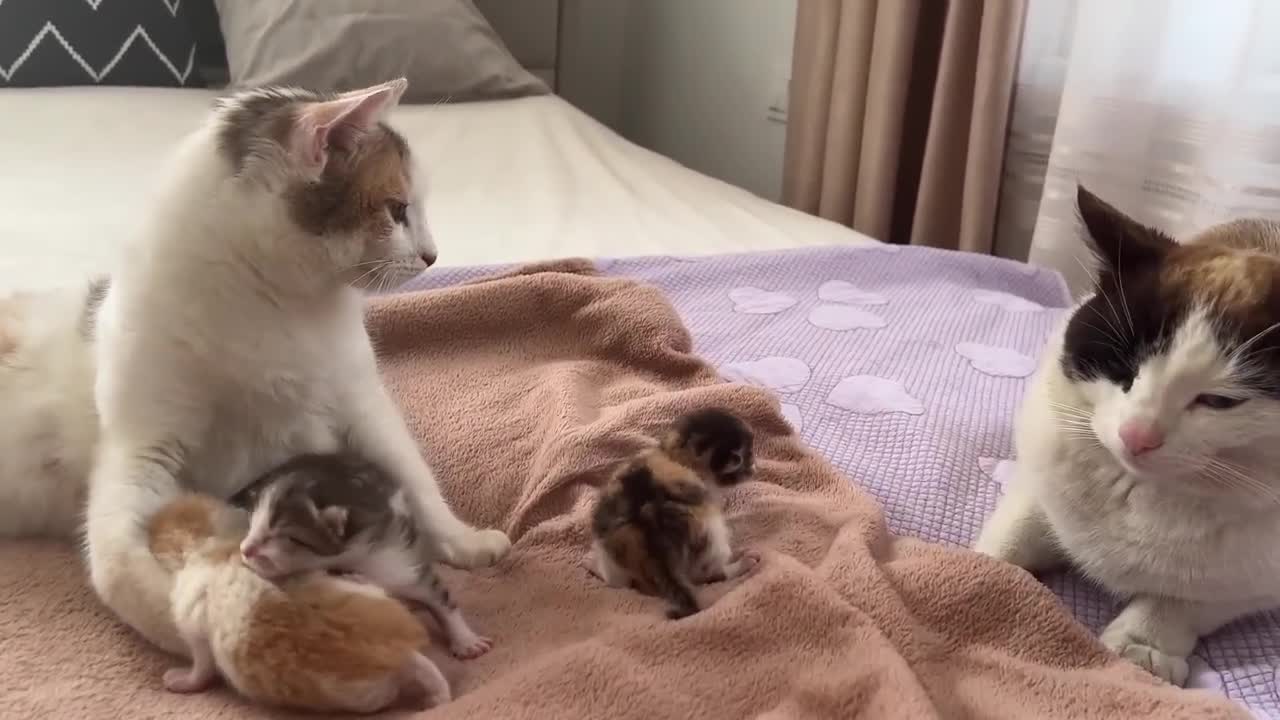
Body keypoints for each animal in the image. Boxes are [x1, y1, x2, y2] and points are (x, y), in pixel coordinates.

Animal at [146, 489, 450, 707]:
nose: (148, 523)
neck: (220, 543)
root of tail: (403, 652)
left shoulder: (193, 622)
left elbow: (202, 665)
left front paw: (183, 680)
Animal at [227, 450, 491, 661]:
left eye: (286, 537)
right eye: (252, 524)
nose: (245, 549)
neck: (358, 560)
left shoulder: (403, 561)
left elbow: (439, 596)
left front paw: (466, 640)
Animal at [588, 407, 757, 614]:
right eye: (745, 458)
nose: (754, 468)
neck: (674, 456)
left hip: (607, 541)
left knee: (618, 583)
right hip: (710, 533)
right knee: (706, 573)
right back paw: (742, 564)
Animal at [972, 184, 1280, 681]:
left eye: (1220, 401)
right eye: (1123, 367)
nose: (1137, 434)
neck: (1133, 493)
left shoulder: (1257, 580)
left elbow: (1185, 598)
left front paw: (1142, 646)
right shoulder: (1041, 479)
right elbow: (1012, 534)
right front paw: (973, 571)